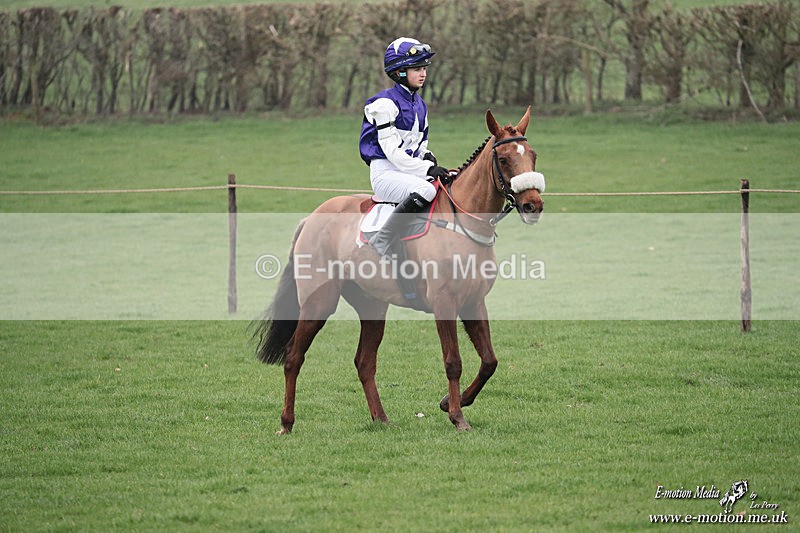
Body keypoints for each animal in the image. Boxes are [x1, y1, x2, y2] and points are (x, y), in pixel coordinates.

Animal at [252, 107, 545, 434]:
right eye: (504, 159)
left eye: (533, 155)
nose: (533, 205)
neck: (463, 222)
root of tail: (311, 218)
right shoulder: (444, 303)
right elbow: (453, 361)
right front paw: (457, 415)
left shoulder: (474, 302)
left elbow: (489, 361)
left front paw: (449, 402)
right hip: (318, 304)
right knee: (293, 357)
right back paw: (286, 423)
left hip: (373, 306)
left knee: (364, 362)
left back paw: (381, 418)